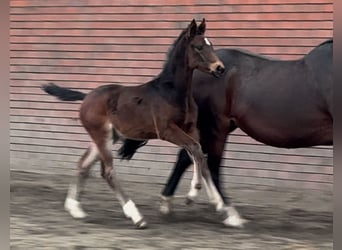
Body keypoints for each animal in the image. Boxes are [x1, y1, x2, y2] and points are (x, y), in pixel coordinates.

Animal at [42, 19, 246, 229]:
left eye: (211, 45)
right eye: (198, 47)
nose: (219, 68)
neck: (172, 93)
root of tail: (86, 97)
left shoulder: (191, 129)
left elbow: (199, 155)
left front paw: (219, 204)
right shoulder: (166, 130)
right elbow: (195, 150)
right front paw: (194, 193)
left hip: (106, 137)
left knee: (83, 164)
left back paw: (75, 209)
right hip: (102, 136)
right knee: (107, 172)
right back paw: (136, 216)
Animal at [119, 39, 332, 215]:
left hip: (217, 127)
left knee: (188, 157)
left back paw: (172, 200)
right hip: (215, 126)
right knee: (210, 163)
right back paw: (227, 211)